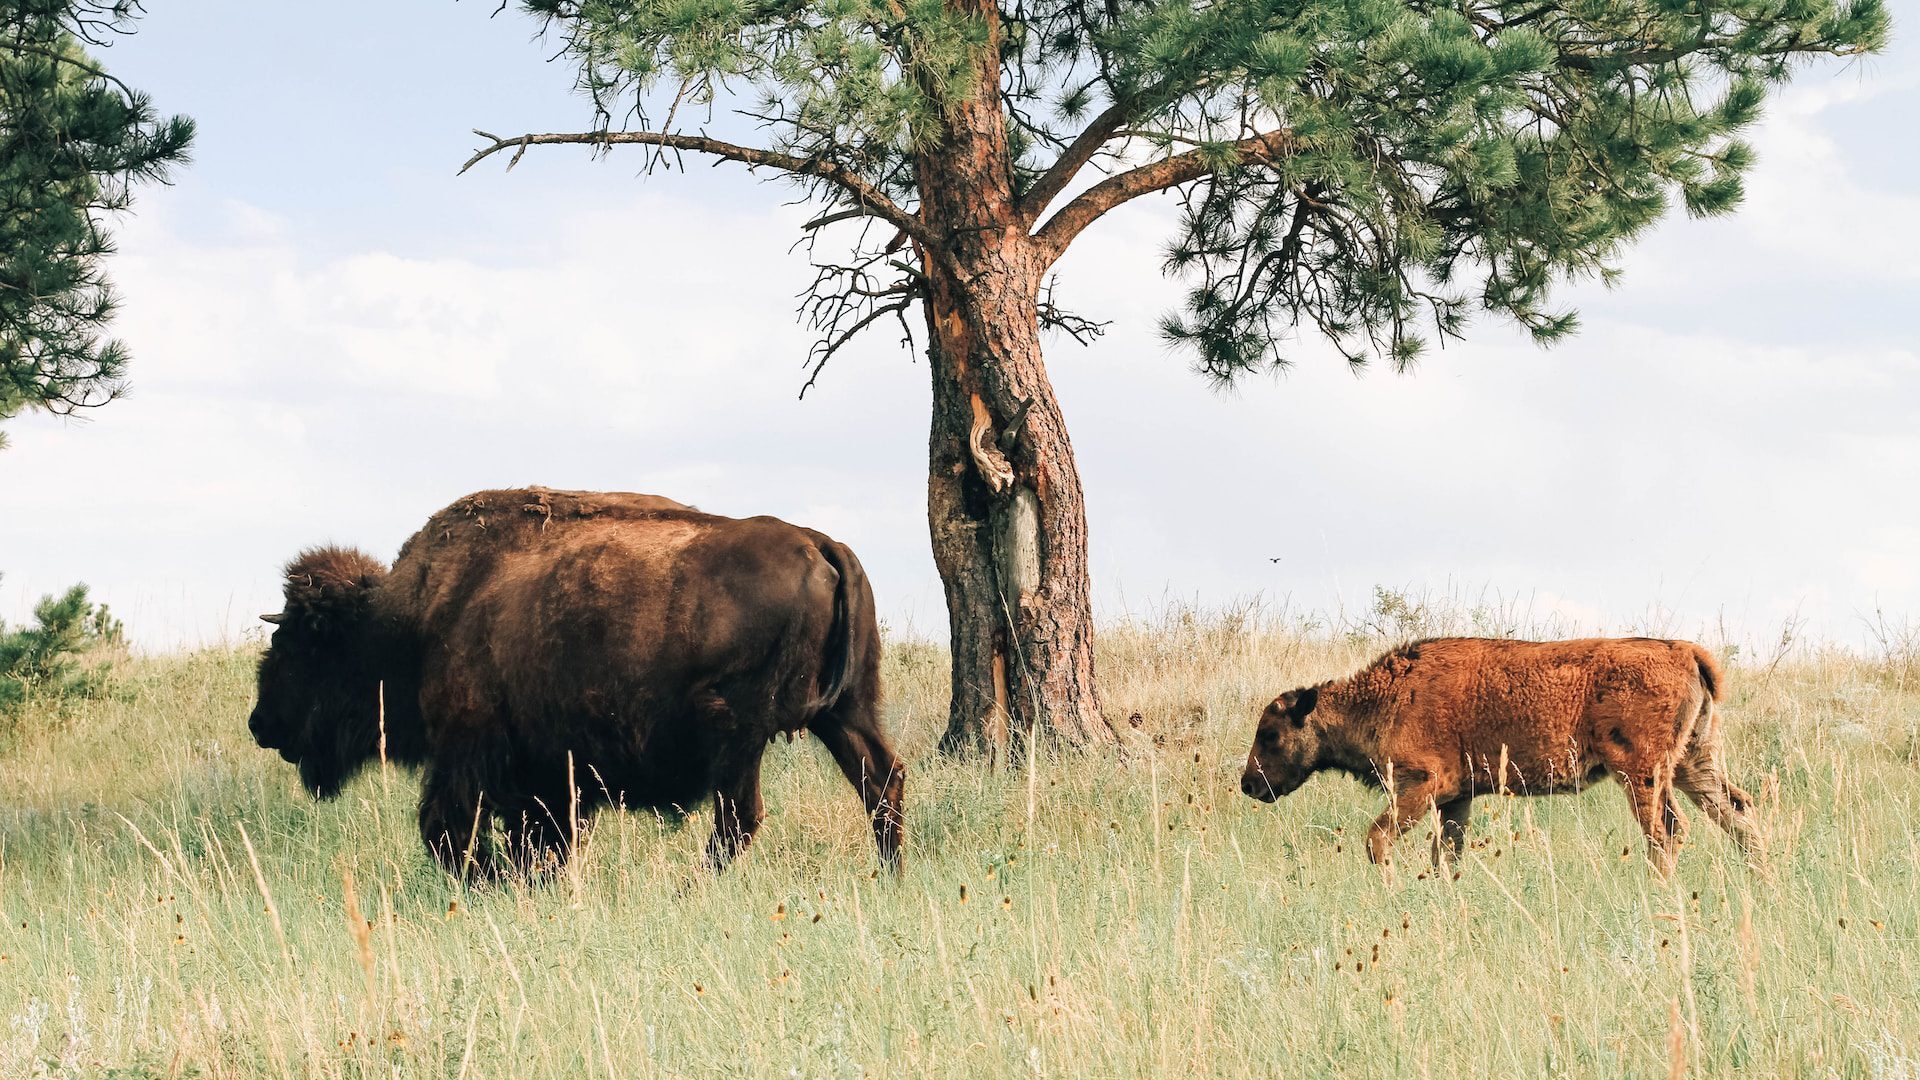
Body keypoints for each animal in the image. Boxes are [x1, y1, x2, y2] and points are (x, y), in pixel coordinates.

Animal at [248, 487, 904, 877]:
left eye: (295, 646)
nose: (260, 723)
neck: (409, 620)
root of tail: (821, 544)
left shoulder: (469, 753)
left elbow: (447, 829)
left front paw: (491, 881)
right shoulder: (549, 775)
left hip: (742, 734)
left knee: (739, 819)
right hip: (847, 711)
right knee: (880, 781)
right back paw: (891, 875)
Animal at [1239, 637, 1761, 873]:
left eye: (1270, 734)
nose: (1248, 783)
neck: (1389, 696)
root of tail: (1686, 652)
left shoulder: (1421, 787)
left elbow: (1377, 839)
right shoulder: (1457, 799)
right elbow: (1446, 853)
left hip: (1643, 773)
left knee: (1667, 831)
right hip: (1694, 763)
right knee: (1738, 810)